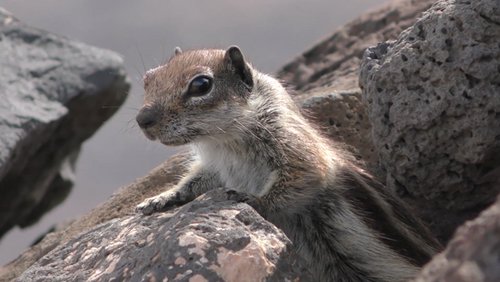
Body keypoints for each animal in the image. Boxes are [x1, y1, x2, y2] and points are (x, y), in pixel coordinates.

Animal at [135, 45, 440, 280]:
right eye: (148, 79)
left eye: (201, 85)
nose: (143, 119)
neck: (223, 142)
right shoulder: (215, 168)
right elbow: (194, 181)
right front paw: (161, 198)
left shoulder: (293, 145)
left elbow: (305, 174)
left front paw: (252, 200)